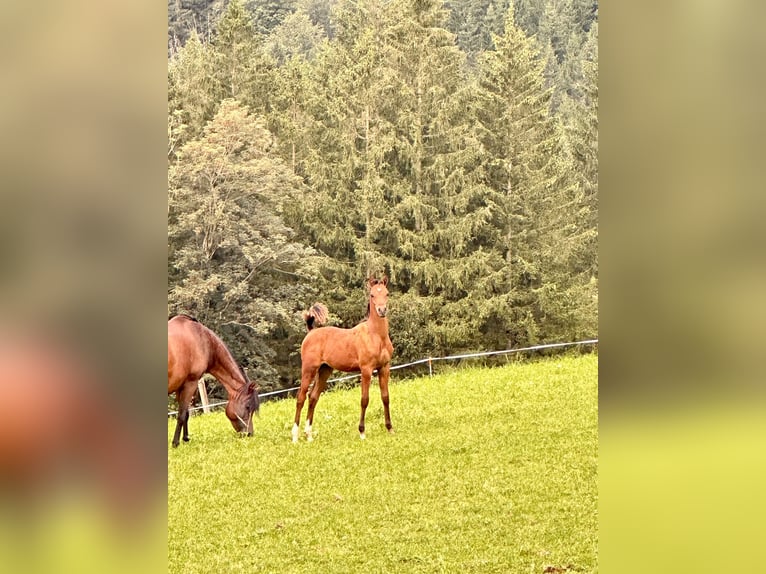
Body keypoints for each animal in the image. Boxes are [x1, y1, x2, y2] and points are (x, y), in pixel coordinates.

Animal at [166, 318, 260, 448]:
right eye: (247, 407)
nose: (249, 433)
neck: (203, 340)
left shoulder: (182, 386)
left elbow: (186, 413)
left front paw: (186, 438)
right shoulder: (191, 382)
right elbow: (182, 415)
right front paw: (175, 443)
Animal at [294, 276, 396, 444]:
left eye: (387, 293)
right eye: (372, 295)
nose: (382, 310)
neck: (376, 335)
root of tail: (311, 332)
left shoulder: (384, 367)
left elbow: (386, 397)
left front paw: (390, 429)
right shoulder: (366, 370)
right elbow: (364, 399)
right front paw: (362, 432)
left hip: (324, 370)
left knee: (313, 397)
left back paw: (309, 435)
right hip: (309, 369)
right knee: (301, 397)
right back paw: (295, 437)